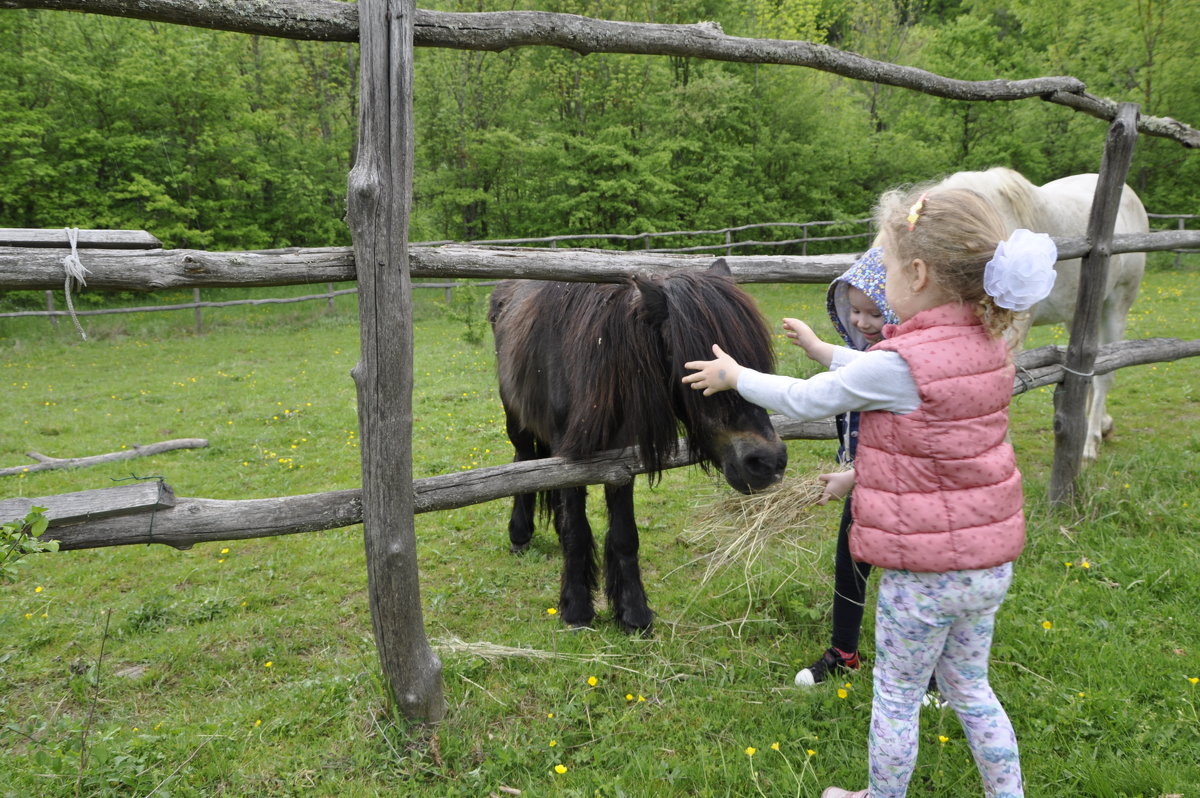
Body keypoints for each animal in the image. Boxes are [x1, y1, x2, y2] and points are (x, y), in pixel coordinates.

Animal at [487, 260, 787, 628]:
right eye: (698, 366)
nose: (768, 461)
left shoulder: (619, 462)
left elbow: (624, 535)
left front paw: (633, 612)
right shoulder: (567, 456)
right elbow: (577, 532)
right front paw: (577, 610)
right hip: (517, 420)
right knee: (523, 461)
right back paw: (519, 535)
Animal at [888, 164, 1147, 458]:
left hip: (1117, 305)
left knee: (1105, 377)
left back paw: (1090, 443)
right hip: (1078, 315)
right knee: (1089, 369)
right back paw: (1102, 427)